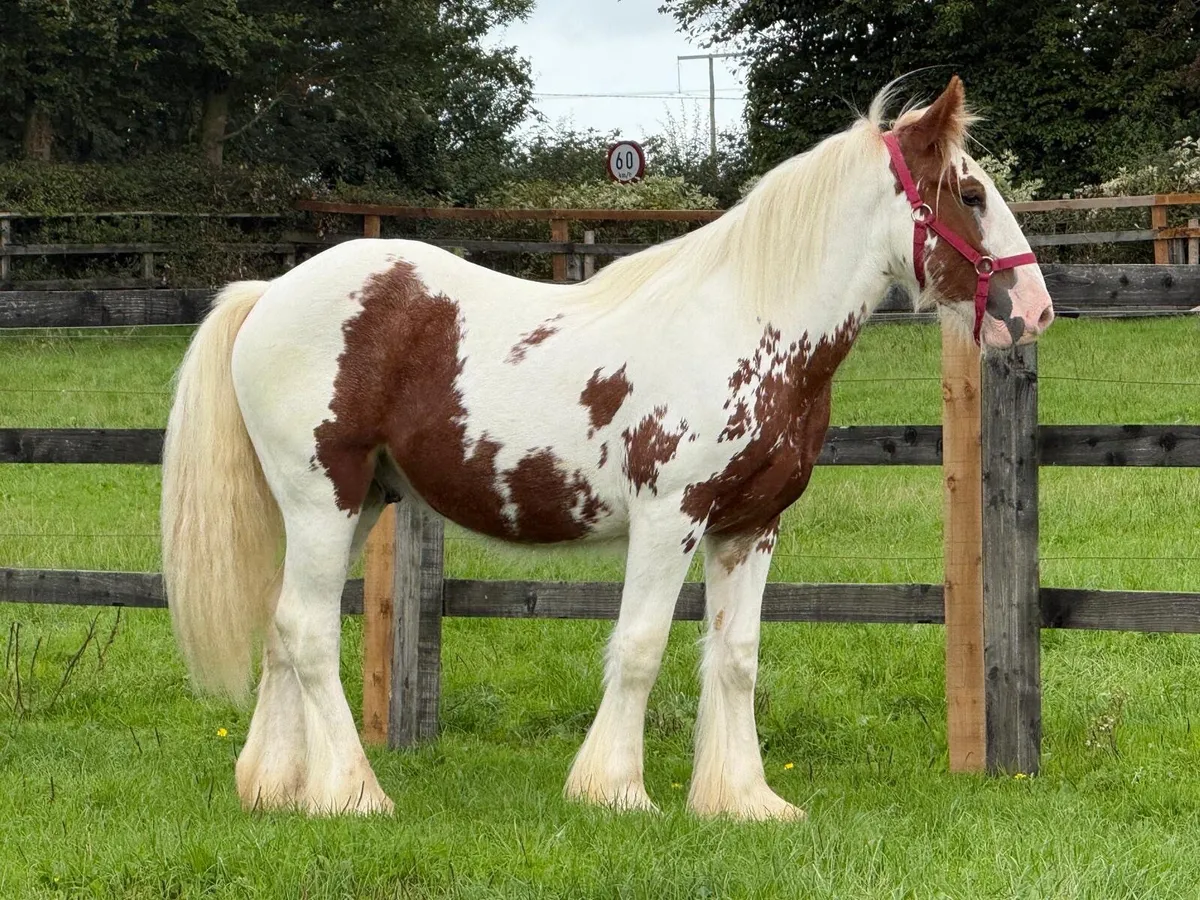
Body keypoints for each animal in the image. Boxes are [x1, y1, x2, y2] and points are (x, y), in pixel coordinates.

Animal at [161, 76, 1054, 821]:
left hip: (360, 505)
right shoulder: (671, 518)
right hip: (325, 498)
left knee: (282, 625)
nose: (1036, 310)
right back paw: (353, 794)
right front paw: (615, 791)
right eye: (971, 193)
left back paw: (278, 788)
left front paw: (743, 801)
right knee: (308, 629)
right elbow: (641, 645)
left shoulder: (751, 526)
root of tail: (268, 294)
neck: (749, 326)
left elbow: (737, 655)